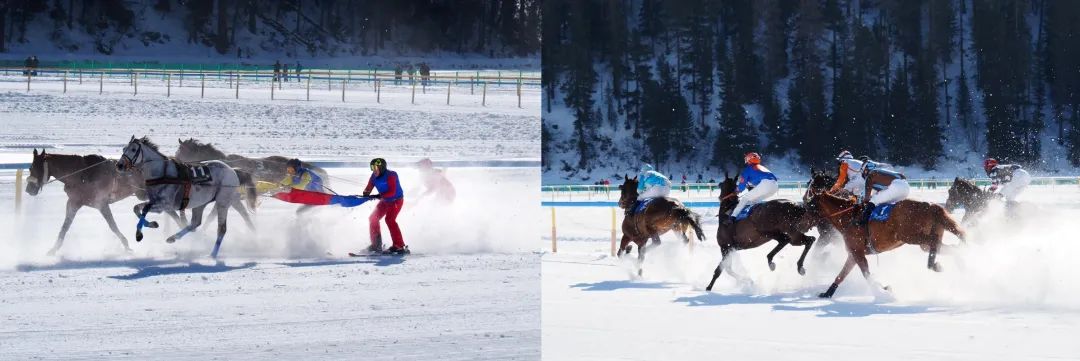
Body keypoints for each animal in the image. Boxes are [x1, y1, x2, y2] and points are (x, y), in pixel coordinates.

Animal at [116, 136, 257, 259]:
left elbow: (144, 209)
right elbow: (137, 208)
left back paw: (212, 254)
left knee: (221, 228)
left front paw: (140, 234)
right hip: (202, 203)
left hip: (223, 202)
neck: (162, 173)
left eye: (133, 149)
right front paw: (151, 225)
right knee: (195, 223)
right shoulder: (155, 202)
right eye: (124, 148)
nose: (119, 165)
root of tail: (233, 171)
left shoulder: (164, 205)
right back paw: (173, 238)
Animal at [803, 190, 972, 298]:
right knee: (942, 246)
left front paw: (882, 290)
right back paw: (961, 264)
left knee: (933, 242)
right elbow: (841, 275)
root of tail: (931, 206)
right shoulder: (853, 253)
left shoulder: (857, 252)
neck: (848, 217)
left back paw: (933, 264)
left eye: (810, 206)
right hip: (926, 237)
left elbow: (866, 273)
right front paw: (827, 293)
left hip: (910, 236)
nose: (801, 222)